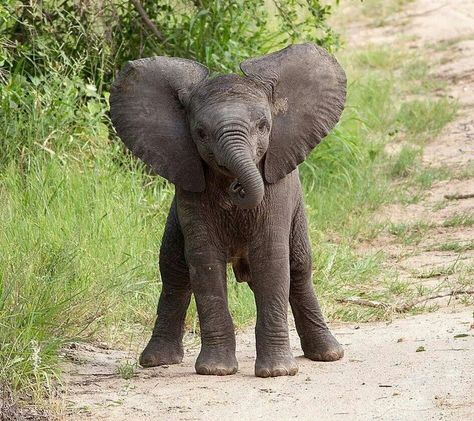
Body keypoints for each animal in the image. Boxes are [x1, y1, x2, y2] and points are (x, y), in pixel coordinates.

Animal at [111, 43, 348, 378]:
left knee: (300, 269)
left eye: (263, 126)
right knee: (174, 271)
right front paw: (216, 370)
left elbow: (271, 259)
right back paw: (157, 361)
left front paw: (276, 373)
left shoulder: (276, 187)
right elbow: (204, 261)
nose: (236, 187)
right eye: (200, 133)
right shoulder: (189, 186)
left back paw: (328, 354)